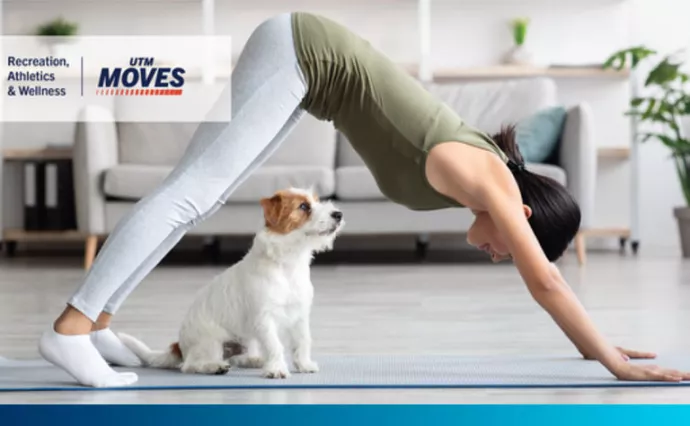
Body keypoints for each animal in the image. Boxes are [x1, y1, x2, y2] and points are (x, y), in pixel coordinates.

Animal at [120, 188, 344, 378]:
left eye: (317, 200)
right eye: (304, 206)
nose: (339, 214)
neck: (287, 263)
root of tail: (180, 346)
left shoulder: (300, 316)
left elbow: (302, 341)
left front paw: (304, 365)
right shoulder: (264, 319)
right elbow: (275, 345)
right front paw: (277, 369)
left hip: (247, 340)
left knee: (237, 358)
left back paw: (254, 360)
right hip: (211, 341)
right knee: (191, 365)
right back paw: (215, 366)